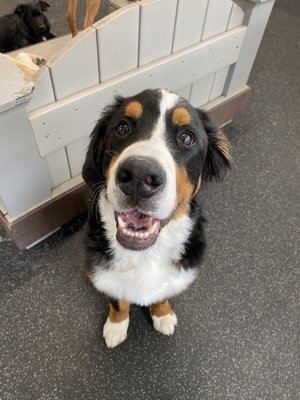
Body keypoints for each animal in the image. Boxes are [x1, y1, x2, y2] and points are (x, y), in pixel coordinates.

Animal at [81, 89, 231, 348]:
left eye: (186, 138)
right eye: (122, 127)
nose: (139, 175)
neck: (146, 254)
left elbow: (161, 296)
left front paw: (162, 315)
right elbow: (118, 301)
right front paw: (116, 326)